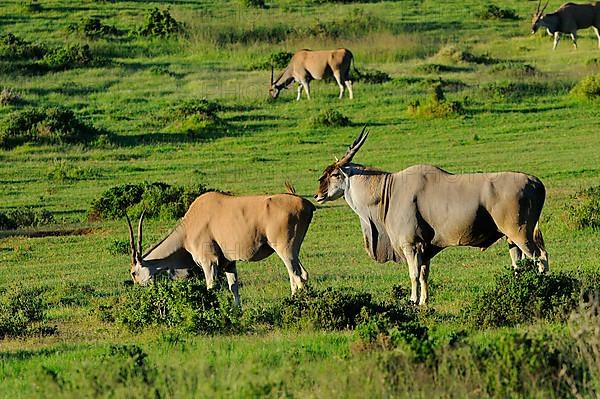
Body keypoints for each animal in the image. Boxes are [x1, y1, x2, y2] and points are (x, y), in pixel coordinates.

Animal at [125, 184, 316, 306]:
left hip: (285, 250)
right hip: (293, 251)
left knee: (297, 276)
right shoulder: (229, 264)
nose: (138, 291)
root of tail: (307, 205)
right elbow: (234, 288)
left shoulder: (209, 262)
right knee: (300, 275)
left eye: (134, 273)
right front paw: (237, 314)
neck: (188, 228)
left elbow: (211, 288)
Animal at [314, 128, 548, 306]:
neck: (388, 190)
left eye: (334, 174)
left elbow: (413, 274)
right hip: (511, 239)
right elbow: (424, 273)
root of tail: (536, 182)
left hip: (520, 234)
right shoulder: (425, 247)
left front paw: (413, 301)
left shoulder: (411, 245)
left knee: (540, 257)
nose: (317, 195)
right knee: (519, 263)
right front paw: (424, 301)